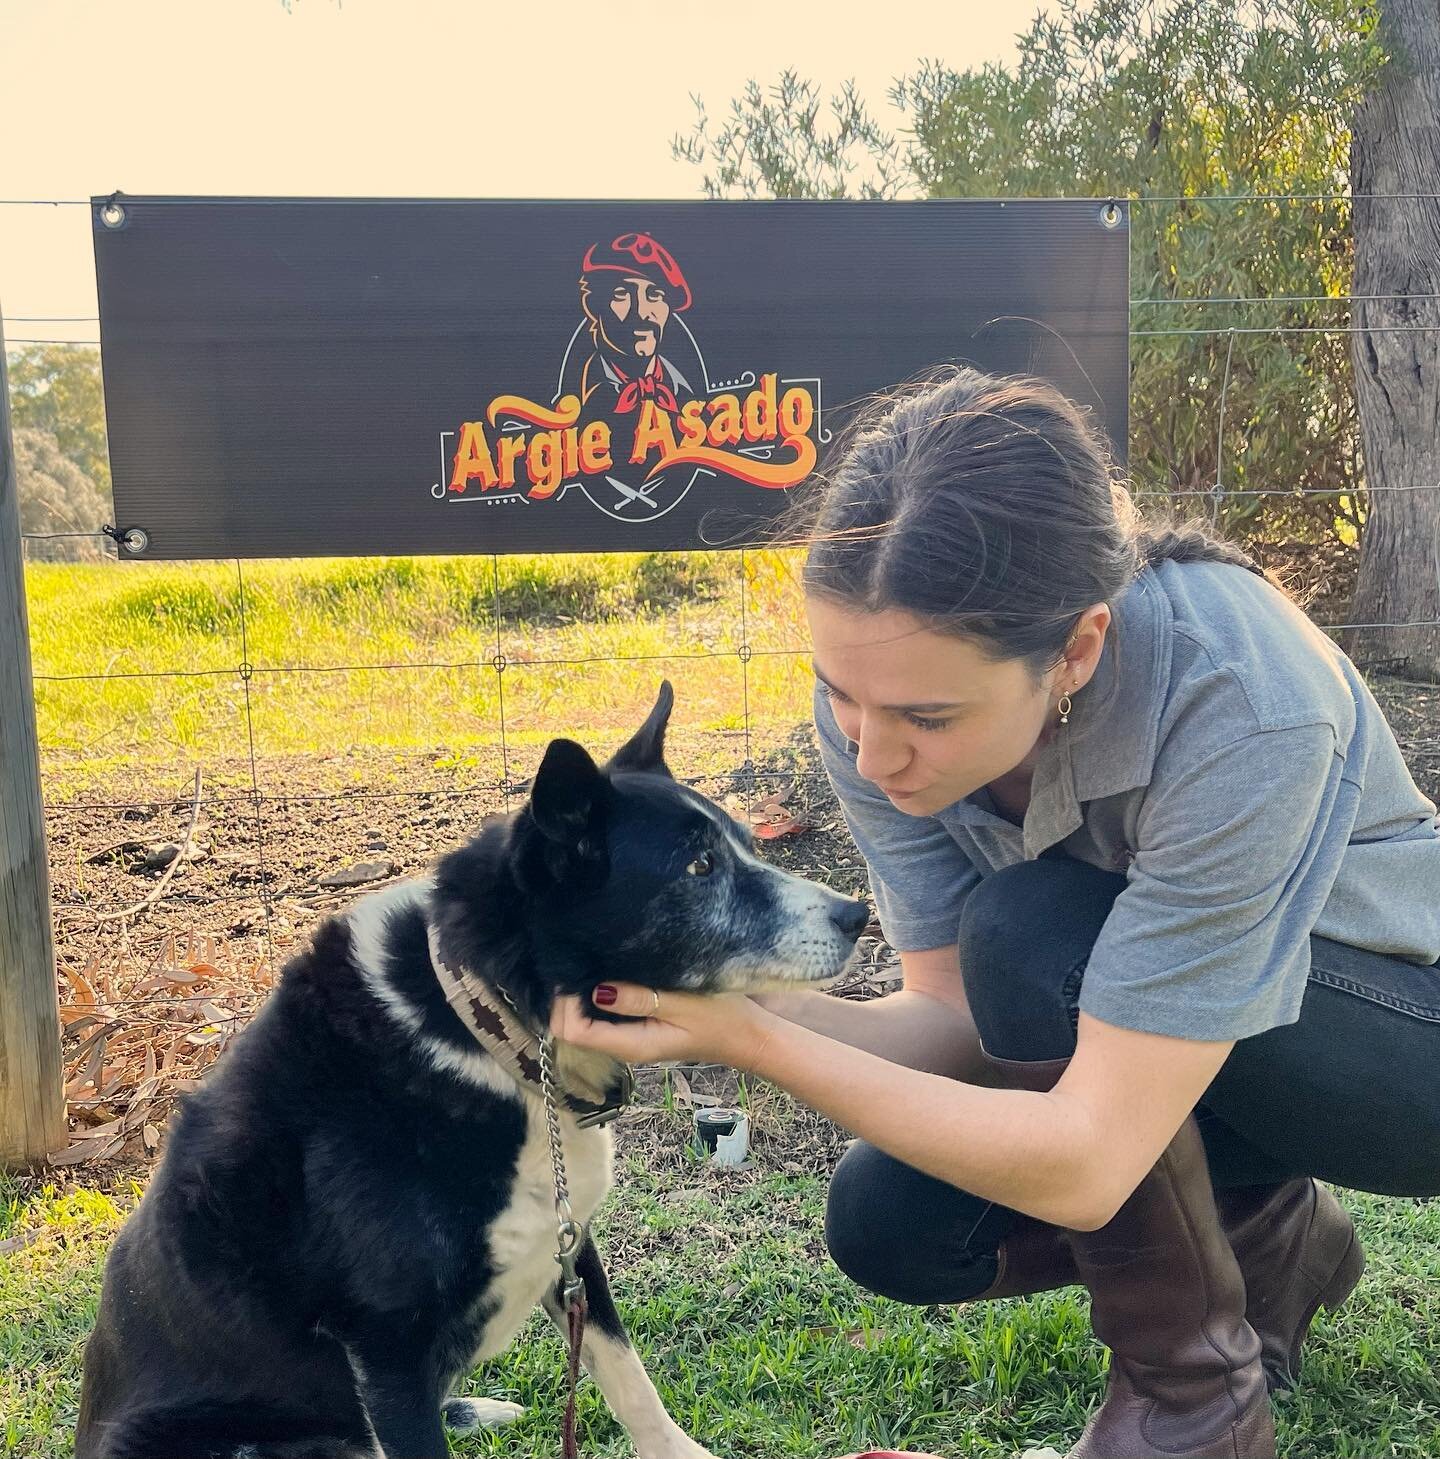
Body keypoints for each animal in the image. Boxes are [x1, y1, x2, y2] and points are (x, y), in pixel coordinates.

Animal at [78, 685, 869, 1459]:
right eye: (699, 869)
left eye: (748, 845)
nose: (857, 914)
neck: (491, 1035)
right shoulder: (387, 1347)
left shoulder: (571, 1248)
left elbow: (630, 1379)